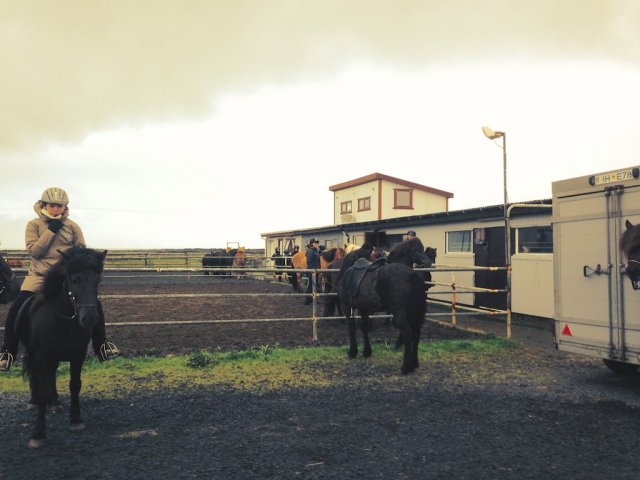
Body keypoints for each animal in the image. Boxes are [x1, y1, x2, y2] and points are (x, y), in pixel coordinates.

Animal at [15, 248, 106, 450]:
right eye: (74, 279)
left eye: (98, 280)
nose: (89, 318)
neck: (64, 321)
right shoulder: (42, 355)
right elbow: (42, 388)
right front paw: (38, 434)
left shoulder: (78, 354)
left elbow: (75, 385)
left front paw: (76, 420)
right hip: (34, 353)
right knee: (37, 377)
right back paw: (35, 402)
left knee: (51, 376)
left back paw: (54, 402)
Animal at [336, 240, 436, 376]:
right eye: (417, 250)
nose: (428, 262)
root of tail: (413, 275)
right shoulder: (363, 309)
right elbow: (364, 329)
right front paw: (367, 351)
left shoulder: (347, 306)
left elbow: (351, 329)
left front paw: (352, 352)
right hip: (412, 313)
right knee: (416, 333)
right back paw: (414, 363)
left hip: (399, 314)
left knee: (408, 333)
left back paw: (406, 367)